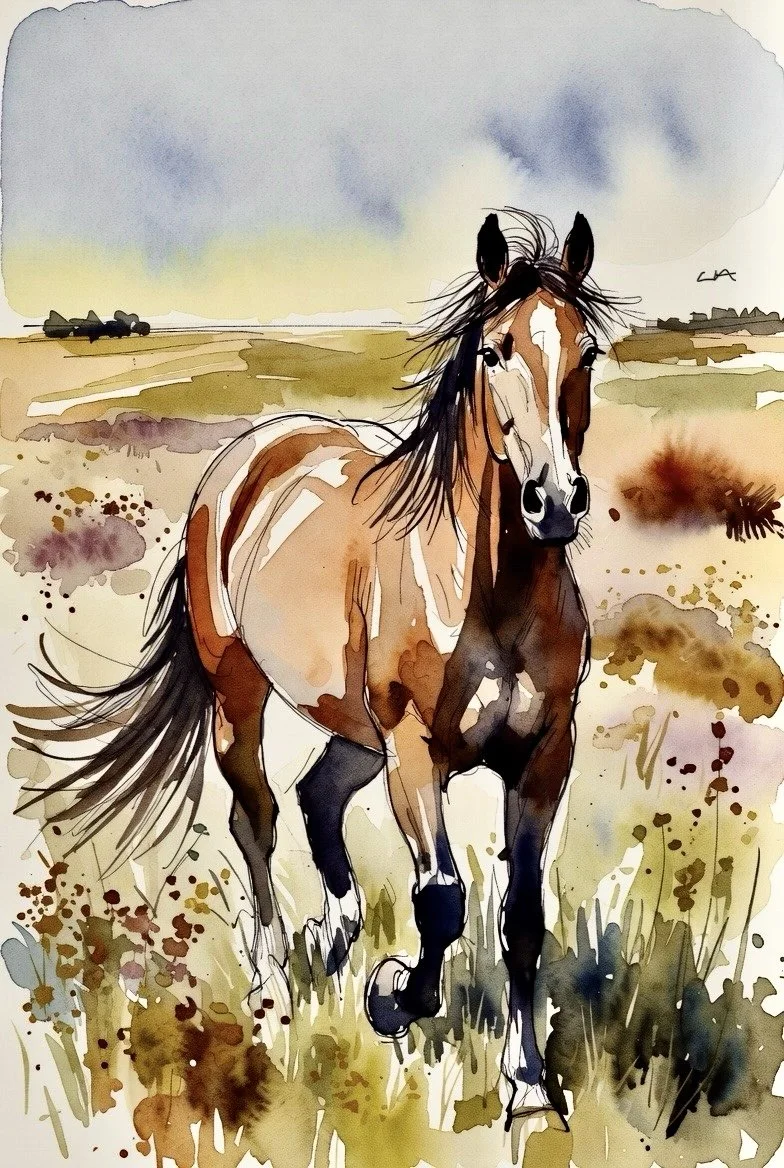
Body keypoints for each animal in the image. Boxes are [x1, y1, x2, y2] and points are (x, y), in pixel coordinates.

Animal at [15, 208, 623, 1125]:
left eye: (586, 352)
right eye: (495, 350)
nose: (554, 501)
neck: (486, 585)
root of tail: (251, 457)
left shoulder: (545, 757)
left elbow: (521, 918)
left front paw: (526, 1083)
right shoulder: (415, 753)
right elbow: (442, 899)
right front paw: (395, 996)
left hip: (356, 730)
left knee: (317, 797)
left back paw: (331, 938)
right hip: (245, 693)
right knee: (258, 815)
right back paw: (272, 978)